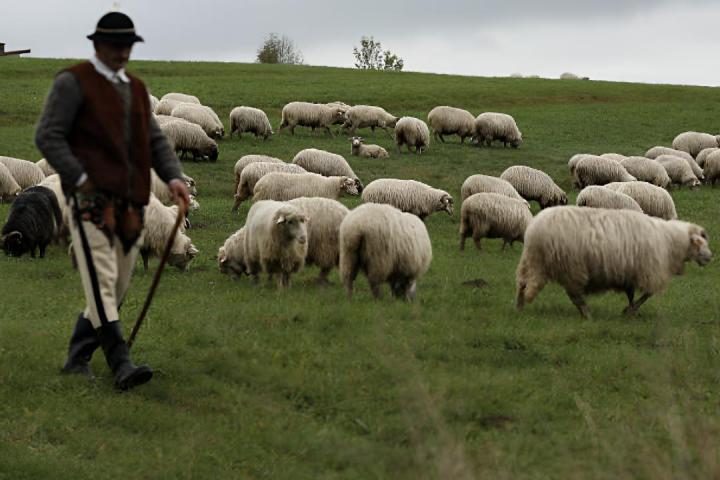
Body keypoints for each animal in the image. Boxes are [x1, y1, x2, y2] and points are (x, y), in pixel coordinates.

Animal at [515, 206, 711, 318]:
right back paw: (587, 314)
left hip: (534, 262)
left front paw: (629, 310)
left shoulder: (629, 272)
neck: (670, 241)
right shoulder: (649, 271)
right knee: (575, 295)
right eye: (700, 243)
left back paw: (519, 307)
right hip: (569, 265)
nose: (710, 257)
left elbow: (631, 294)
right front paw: (631, 311)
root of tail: (533, 230)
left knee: (523, 284)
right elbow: (647, 294)